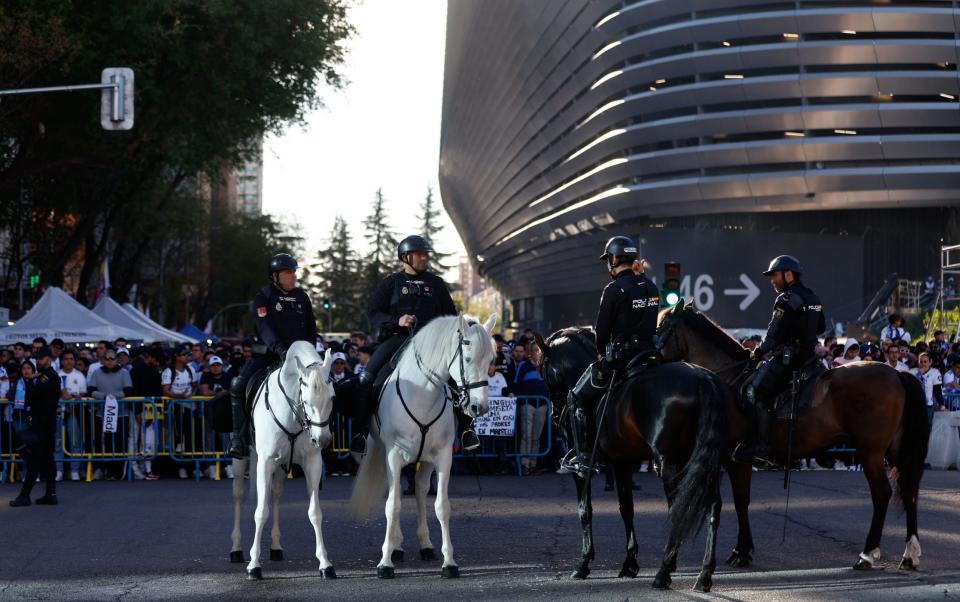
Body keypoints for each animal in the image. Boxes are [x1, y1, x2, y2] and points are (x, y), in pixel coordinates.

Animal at [229, 340, 338, 580]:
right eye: (306, 400)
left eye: (332, 398)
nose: (323, 440)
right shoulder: (265, 462)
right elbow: (261, 512)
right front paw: (254, 566)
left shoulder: (312, 463)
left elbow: (315, 512)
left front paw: (325, 563)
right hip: (242, 460)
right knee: (239, 495)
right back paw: (236, 549)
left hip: (280, 466)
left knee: (276, 495)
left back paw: (276, 547)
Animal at [350, 314, 496, 576]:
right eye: (468, 358)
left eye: (490, 360)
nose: (479, 407)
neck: (423, 395)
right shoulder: (393, 456)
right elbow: (393, 506)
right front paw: (385, 562)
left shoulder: (443, 457)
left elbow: (442, 506)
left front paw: (449, 562)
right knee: (396, 492)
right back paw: (396, 547)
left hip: (424, 461)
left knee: (419, 489)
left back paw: (425, 545)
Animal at [536, 326, 732, 588]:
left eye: (542, 368)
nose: (557, 416)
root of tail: (703, 379)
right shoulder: (622, 462)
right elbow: (626, 508)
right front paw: (629, 563)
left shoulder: (582, 471)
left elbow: (585, 510)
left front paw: (583, 563)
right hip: (704, 462)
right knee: (712, 505)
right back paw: (704, 574)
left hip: (668, 462)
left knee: (677, 507)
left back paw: (664, 572)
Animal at [660, 302, 928, 568]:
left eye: (663, 326)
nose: (652, 357)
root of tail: (896, 374)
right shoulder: (739, 461)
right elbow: (743, 501)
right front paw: (743, 549)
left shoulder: (734, 459)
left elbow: (739, 501)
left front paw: (741, 551)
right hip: (894, 450)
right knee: (909, 490)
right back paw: (909, 553)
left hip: (871, 452)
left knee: (882, 494)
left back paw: (867, 553)